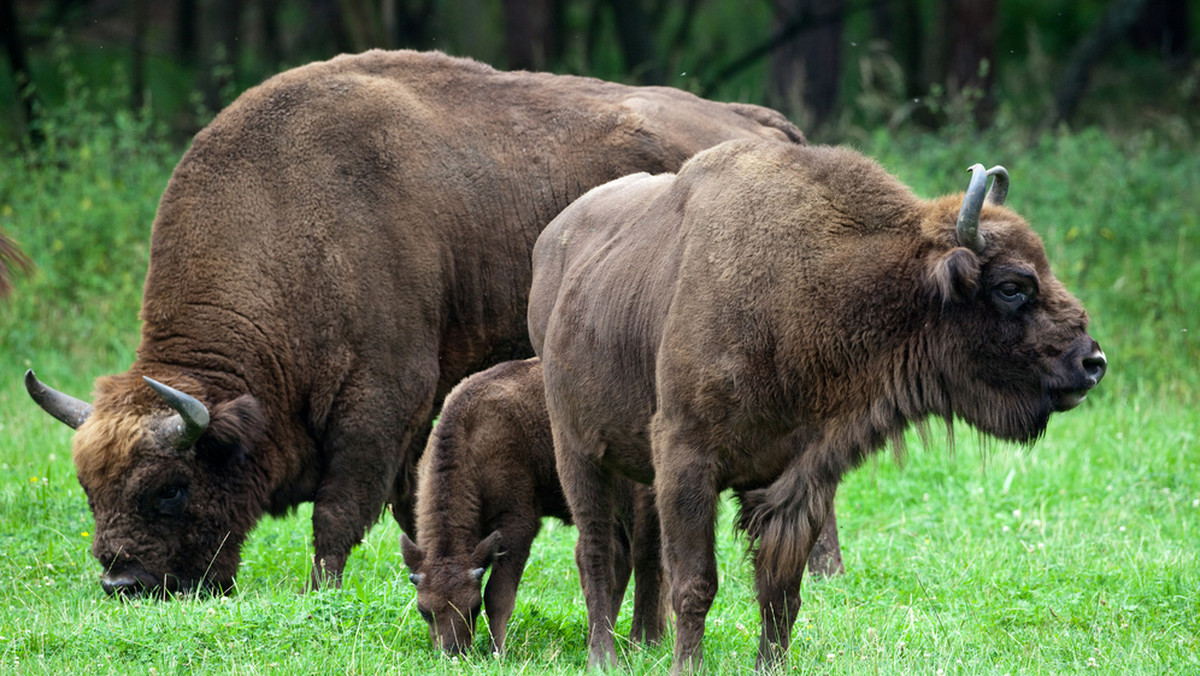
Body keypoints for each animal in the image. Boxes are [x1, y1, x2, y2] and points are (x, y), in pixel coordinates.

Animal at [21, 48, 806, 597]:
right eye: (89, 490)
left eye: (171, 488)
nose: (123, 583)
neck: (289, 217)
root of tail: (763, 126)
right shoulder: (417, 421)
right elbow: (410, 502)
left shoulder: (382, 401)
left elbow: (339, 512)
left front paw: (321, 595)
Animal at [398, 360, 662, 657]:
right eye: (424, 611)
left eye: (473, 607)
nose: (454, 652)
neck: (471, 433)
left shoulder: (518, 523)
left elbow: (498, 593)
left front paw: (497, 651)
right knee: (619, 559)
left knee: (646, 556)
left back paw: (645, 642)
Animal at [530, 138, 1108, 672]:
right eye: (1011, 286)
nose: (1092, 361)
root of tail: (551, 242)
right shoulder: (686, 461)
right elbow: (696, 583)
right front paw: (687, 666)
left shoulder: (799, 479)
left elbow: (780, 593)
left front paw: (770, 664)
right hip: (577, 450)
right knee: (596, 551)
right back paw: (602, 656)